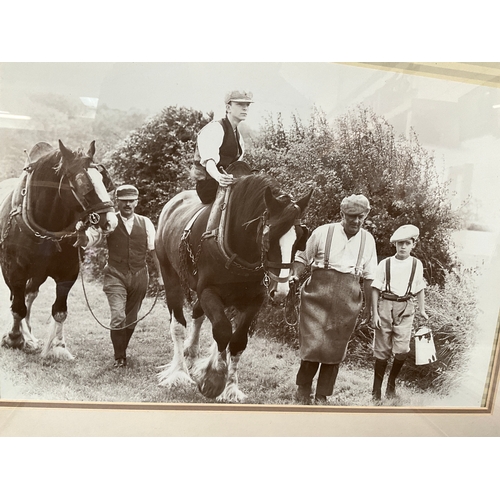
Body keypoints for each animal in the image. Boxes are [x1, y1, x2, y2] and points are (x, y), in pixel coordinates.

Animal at [0, 141, 118, 360]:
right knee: (17, 298)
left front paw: (58, 346)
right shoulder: (13, 269)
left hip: (38, 272)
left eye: (103, 180)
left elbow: (60, 310)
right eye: (83, 184)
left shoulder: (67, 273)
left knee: (30, 294)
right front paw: (14, 337)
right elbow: (17, 307)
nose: (111, 222)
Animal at [156, 169, 312, 402]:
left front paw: (230, 388)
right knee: (178, 324)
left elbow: (237, 341)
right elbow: (222, 330)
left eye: (300, 238)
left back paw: (191, 354)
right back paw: (179, 372)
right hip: (170, 275)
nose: (282, 289)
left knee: (197, 314)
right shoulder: (208, 291)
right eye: (269, 236)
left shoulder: (254, 300)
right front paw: (214, 378)